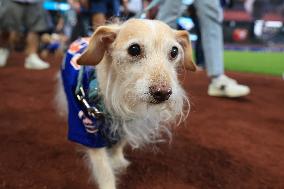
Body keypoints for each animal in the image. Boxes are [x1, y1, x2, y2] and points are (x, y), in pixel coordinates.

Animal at [58, 18, 195, 189]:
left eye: (174, 52)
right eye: (134, 49)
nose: (163, 93)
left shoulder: (125, 123)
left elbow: (119, 144)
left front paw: (118, 161)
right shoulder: (88, 131)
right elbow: (104, 170)